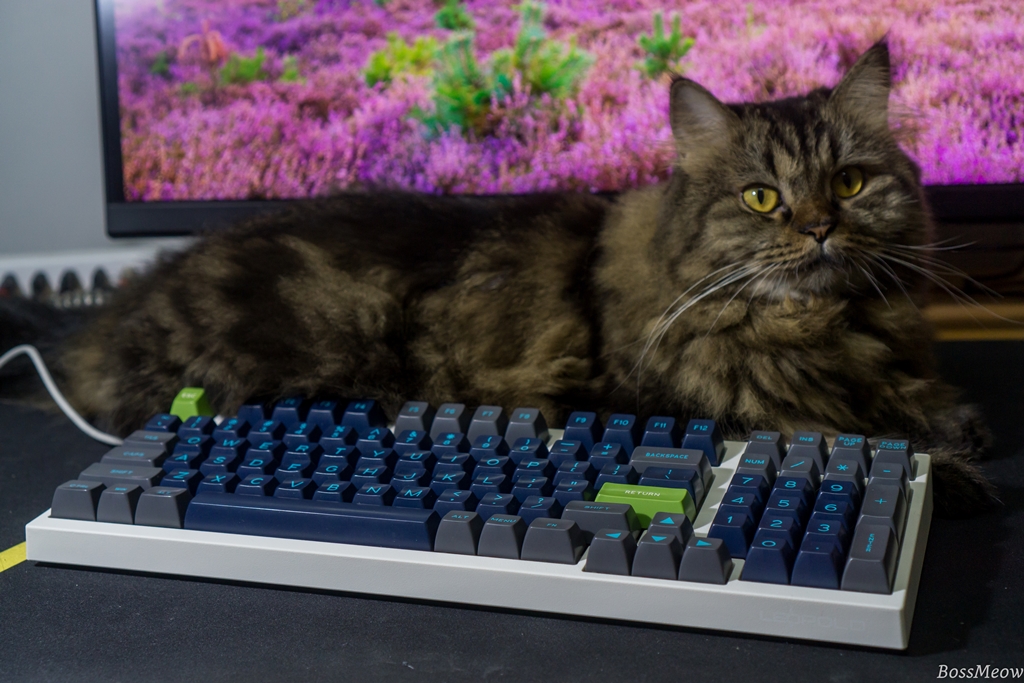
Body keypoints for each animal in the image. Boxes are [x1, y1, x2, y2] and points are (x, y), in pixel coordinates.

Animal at [1, 41, 996, 517]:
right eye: (761, 198)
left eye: (850, 183)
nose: (820, 226)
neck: (816, 331)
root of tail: (113, 312)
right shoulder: (659, 405)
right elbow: (836, 436)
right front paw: (952, 468)